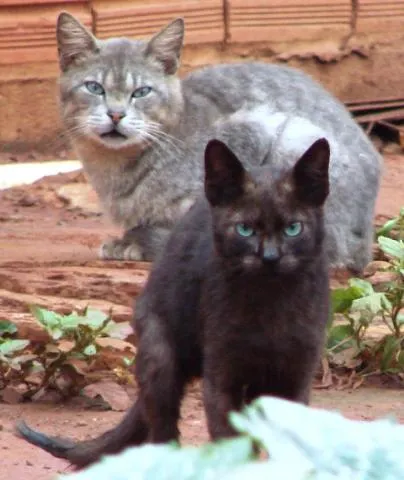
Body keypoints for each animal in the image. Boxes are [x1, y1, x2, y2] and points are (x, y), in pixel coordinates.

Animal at [16, 137, 332, 466]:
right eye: (244, 229)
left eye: (293, 229)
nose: (270, 257)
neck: (271, 305)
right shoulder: (221, 374)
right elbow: (230, 442)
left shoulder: (297, 373)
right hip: (160, 357)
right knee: (162, 428)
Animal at [56, 11, 382, 272]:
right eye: (94, 88)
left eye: (142, 92)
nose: (115, 114)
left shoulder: (248, 134)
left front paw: (141, 242)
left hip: (295, 139)